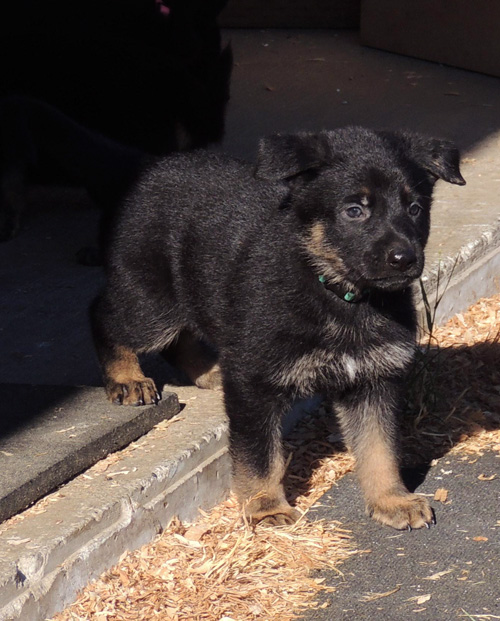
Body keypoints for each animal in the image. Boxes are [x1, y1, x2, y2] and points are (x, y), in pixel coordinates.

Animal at [89, 126, 464, 528]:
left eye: (415, 209)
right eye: (354, 211)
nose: (404, 259)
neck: (337, 292)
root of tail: (152, 165)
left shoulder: (373, 380)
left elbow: (380, 448)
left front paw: (391, 499)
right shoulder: (254, 384)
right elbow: (259, 454)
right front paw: (266, 506)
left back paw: (210, 370)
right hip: (151, 302)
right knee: (105, 315)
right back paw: (127, 377)